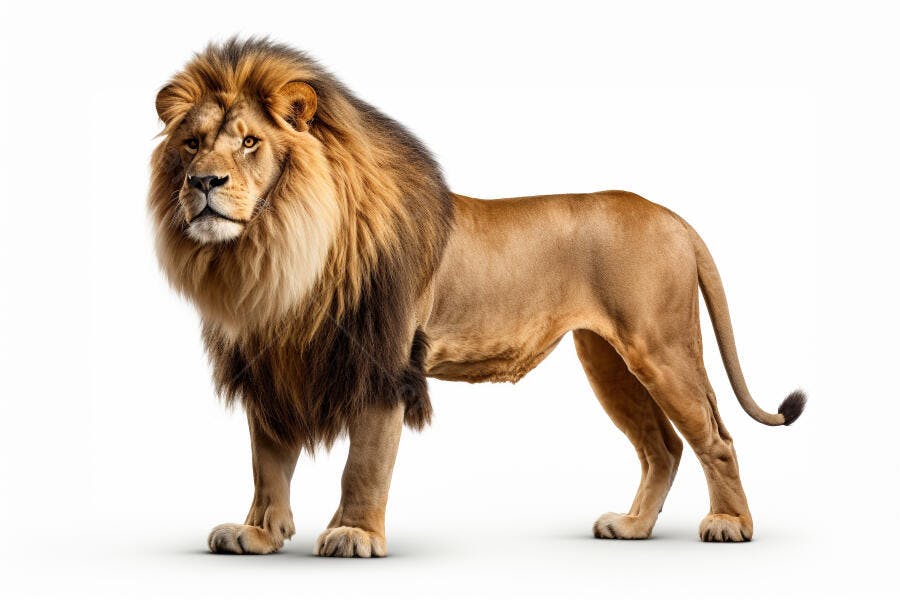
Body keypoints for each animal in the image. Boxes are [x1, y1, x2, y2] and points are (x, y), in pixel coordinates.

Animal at [149, 38, 806, 557]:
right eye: (192, 143)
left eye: (250, 143)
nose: (203, 182)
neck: (277, 254)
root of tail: (674, 217)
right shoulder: (270, 365)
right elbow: (268, 461)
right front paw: (258, 533)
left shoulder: (387, 362)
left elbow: (364, 462)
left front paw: (354, 535)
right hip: (607, 360)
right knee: (664, 447)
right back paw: (633, 526)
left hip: (661, 346)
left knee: (715, 438)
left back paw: (730, 525)